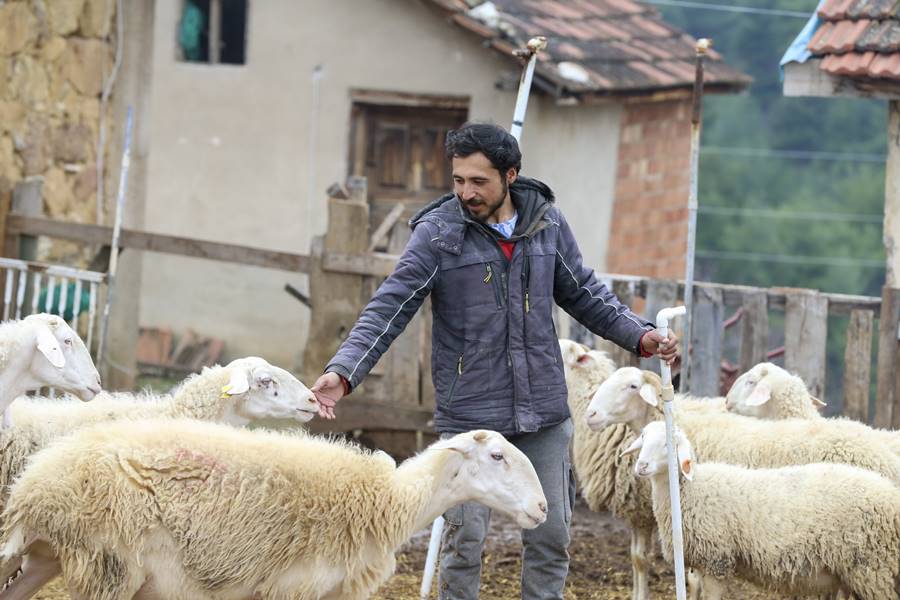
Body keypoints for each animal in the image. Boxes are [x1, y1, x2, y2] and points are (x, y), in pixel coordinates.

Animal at [0, 422, 544, 600]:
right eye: (498, 456)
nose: (541, 508)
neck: (387, 500)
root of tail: (35, 486)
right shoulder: (292, 587)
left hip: (46, 558)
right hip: (109, 566)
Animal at [624, 420, 900, 600]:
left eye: (667, 444)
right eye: (643, 438)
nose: (641, 466)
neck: (689, 491)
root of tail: (890, 495)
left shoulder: (717, 561)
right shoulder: (703, 562)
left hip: (872, 567)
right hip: (852, 569)